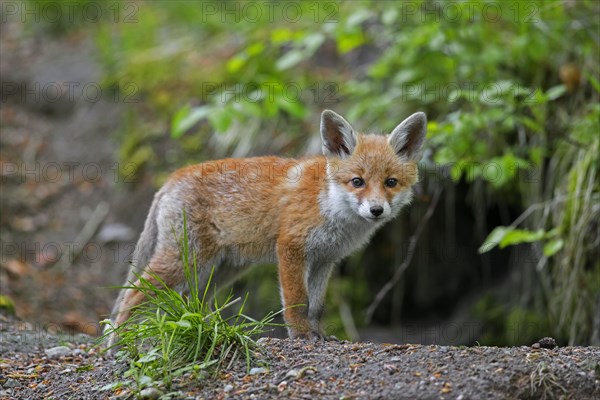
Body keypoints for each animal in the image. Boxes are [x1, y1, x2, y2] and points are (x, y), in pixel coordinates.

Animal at [108, 109, 426, 346]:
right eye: (357, 182)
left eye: (391, 182)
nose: (376, 210)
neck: (330, 204)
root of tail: (170, 180)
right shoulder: (292, 249)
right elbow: (297, 301)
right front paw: (301, 336)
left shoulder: (325, 260)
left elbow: (316, 306)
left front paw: (319, 335)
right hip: (185, 262)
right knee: (131, 296)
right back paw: (118, 346)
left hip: (219, 270)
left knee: (192, 301)